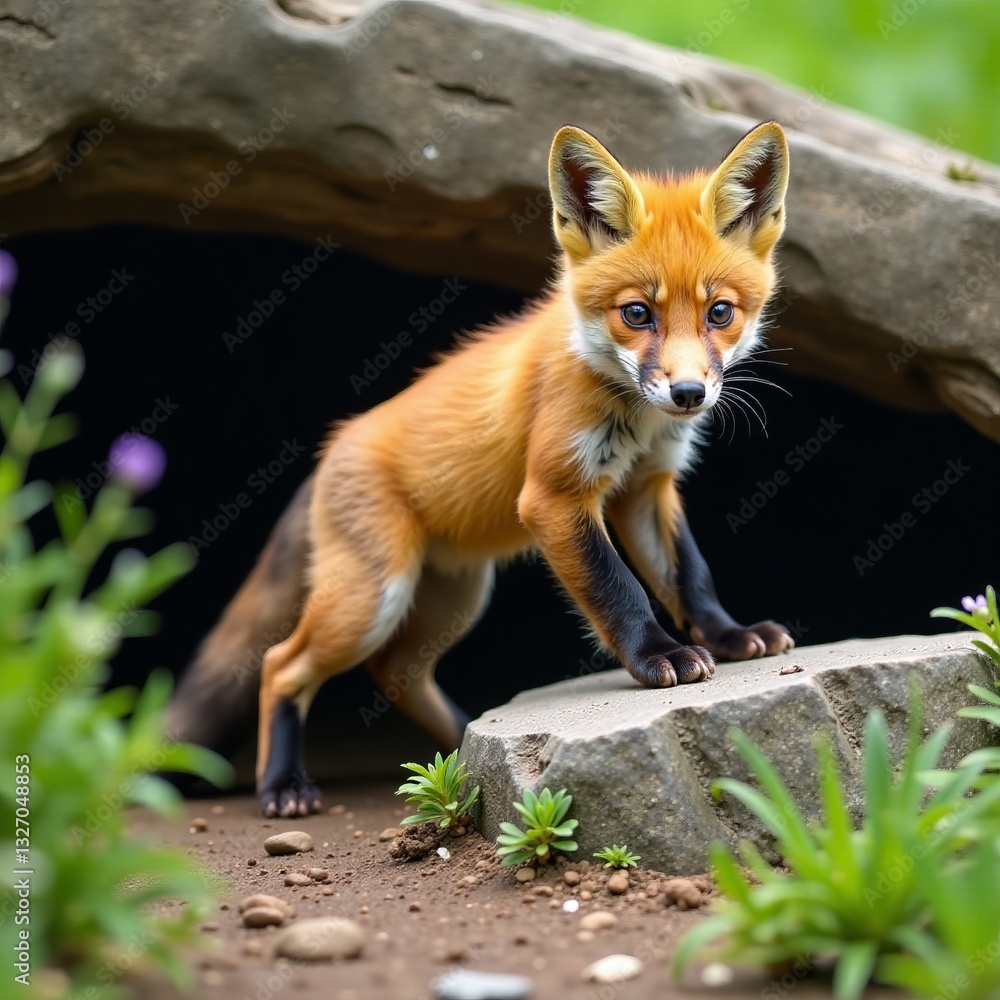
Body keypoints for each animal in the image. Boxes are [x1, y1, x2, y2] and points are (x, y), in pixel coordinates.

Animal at [168, 121, 794, 817]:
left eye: (720, 312)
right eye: (637, 313)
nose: (687, 394)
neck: (633, 415)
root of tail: (335, 446)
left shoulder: (646, 487)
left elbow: (690, 575)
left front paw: (728, 635)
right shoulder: (554, 497)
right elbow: (619, 589)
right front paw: (659, 656)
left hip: (454, 600)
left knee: (396, 673)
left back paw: (460, 756)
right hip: (372, 598)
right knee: (283, 664)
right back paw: (283, 784)